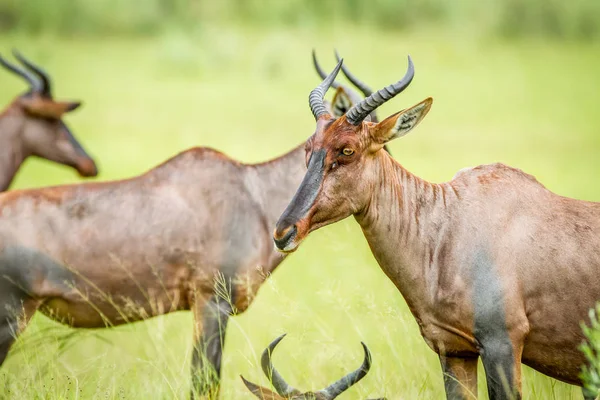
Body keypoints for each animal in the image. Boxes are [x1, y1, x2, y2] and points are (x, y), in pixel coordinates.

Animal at [274, 56, 600, 400]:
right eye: (309, 148)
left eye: (347, 150)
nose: (283, 233)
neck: (449, 222)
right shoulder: (455, 351)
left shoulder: (503, 344)